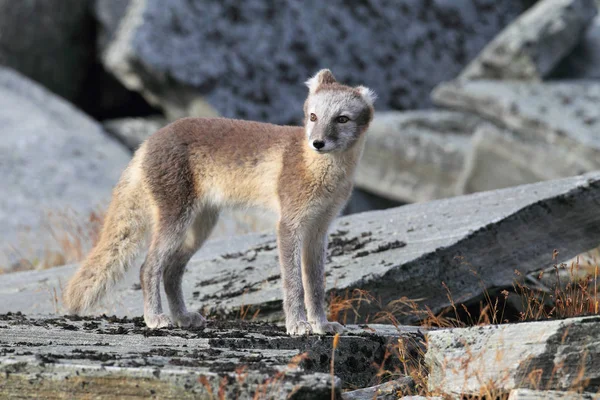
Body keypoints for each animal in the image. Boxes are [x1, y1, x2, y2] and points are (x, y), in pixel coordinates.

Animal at [64, 69, 376, 334]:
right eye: (313, 117)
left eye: (342, 119)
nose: (317, 143)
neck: (322, 173)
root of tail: (147, 141)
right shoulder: (289, 225)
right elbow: (293, 284)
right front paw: (298, 325)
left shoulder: (318, 230)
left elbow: (315, 286)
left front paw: (321, 325)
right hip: (176, 221)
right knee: (148, 267)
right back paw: (156, 318)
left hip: (201, 226)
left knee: (172, 271)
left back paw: (182, 317)